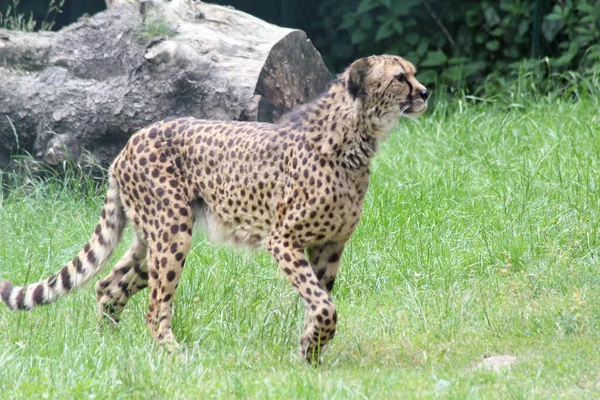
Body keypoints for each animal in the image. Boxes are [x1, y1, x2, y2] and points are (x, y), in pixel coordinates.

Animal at [2, 54, 428, 364]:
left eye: (413, 74)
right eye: (399, 78)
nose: (425, 92)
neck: (355, 138)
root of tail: (132, 140)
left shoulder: (330, 245)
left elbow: (319, 303)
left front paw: (310, 352)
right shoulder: (283, 240)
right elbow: (324, 305)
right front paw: (311, 348)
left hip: (151, 237)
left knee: (109, 285)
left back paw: (110, 346)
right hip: (173, 232)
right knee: (154, 307)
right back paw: (172, 355)